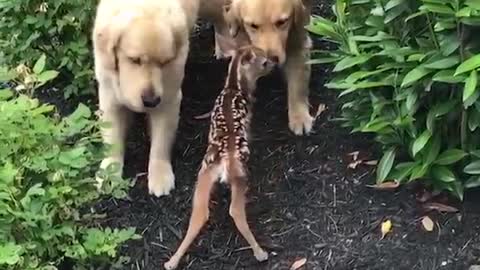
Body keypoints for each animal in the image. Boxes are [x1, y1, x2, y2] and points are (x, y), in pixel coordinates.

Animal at [92, 0, 199, 196]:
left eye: (164, 63)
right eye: (134, 60)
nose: (150, 101)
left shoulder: (168, 99)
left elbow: (161, 141)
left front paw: (160, 175)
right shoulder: (109, 93)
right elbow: (113, 138)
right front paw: (110, 171)